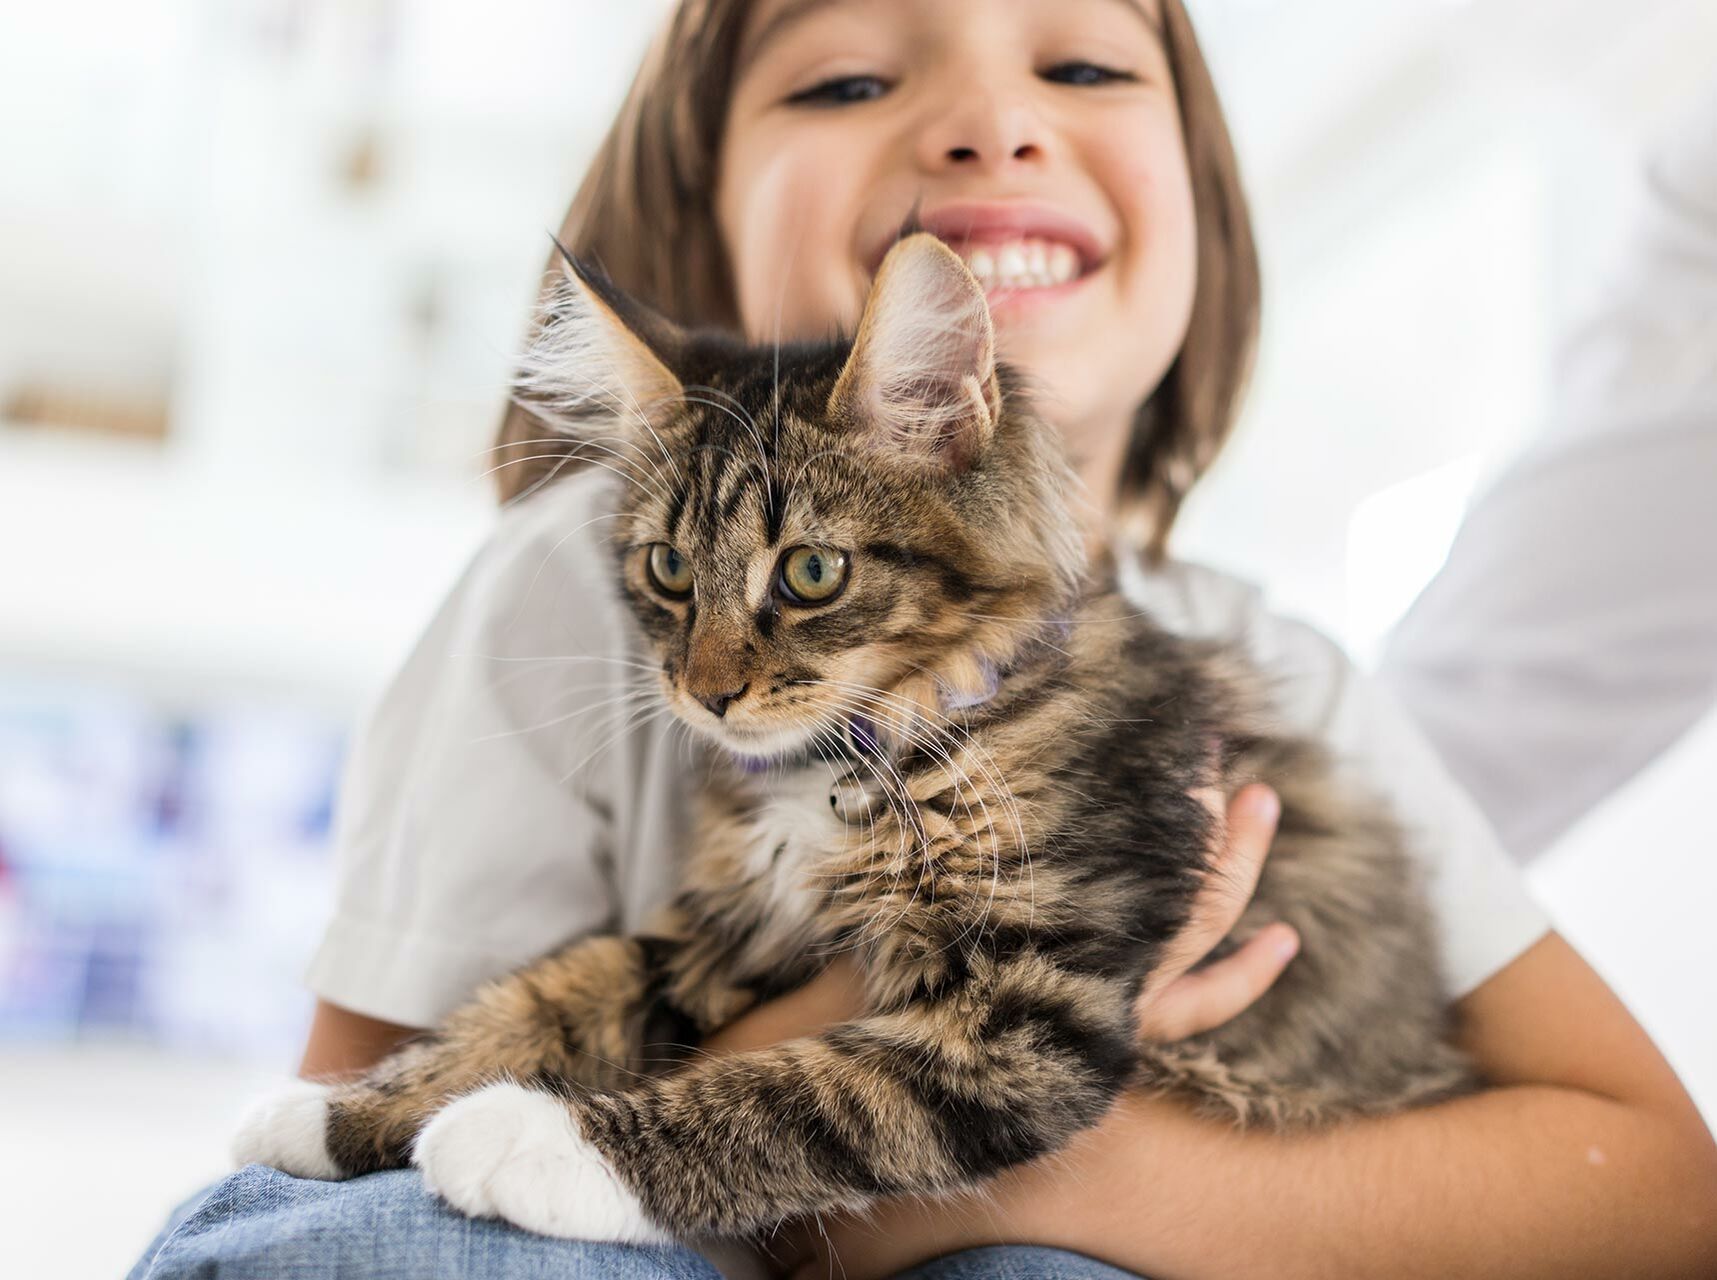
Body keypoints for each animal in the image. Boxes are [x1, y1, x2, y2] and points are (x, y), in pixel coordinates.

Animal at [231, 230, 1476, 1237]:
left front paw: (531, 1139)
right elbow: (551, 990)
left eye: (811, 573)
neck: (862, 757)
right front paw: (338, 1107)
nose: (706, 692)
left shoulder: (1026, 1006)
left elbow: (799, 1093)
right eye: (667, 568)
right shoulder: (723, 927)